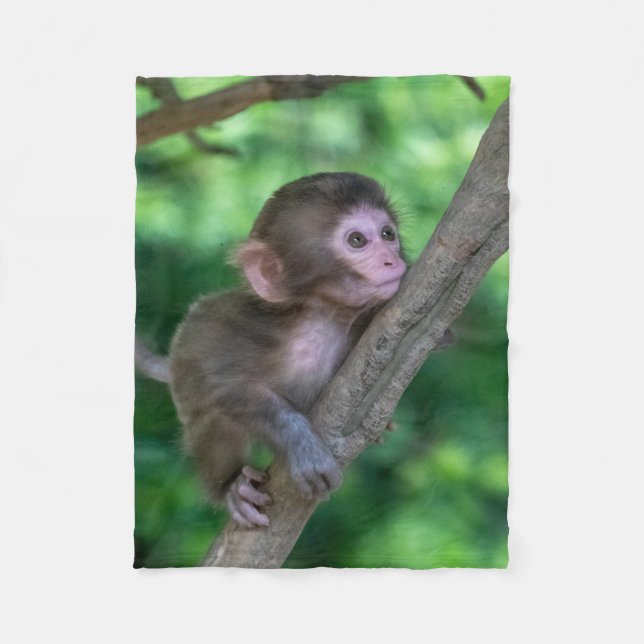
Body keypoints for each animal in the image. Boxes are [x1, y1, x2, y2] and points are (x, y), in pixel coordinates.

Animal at [168, 172, 408, 528]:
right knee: (212, 418)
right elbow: (225, 388)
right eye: (357, 240)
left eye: (387, 233)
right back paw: (231, 488)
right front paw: (302, 448)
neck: (323, 322)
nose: (393, 260)